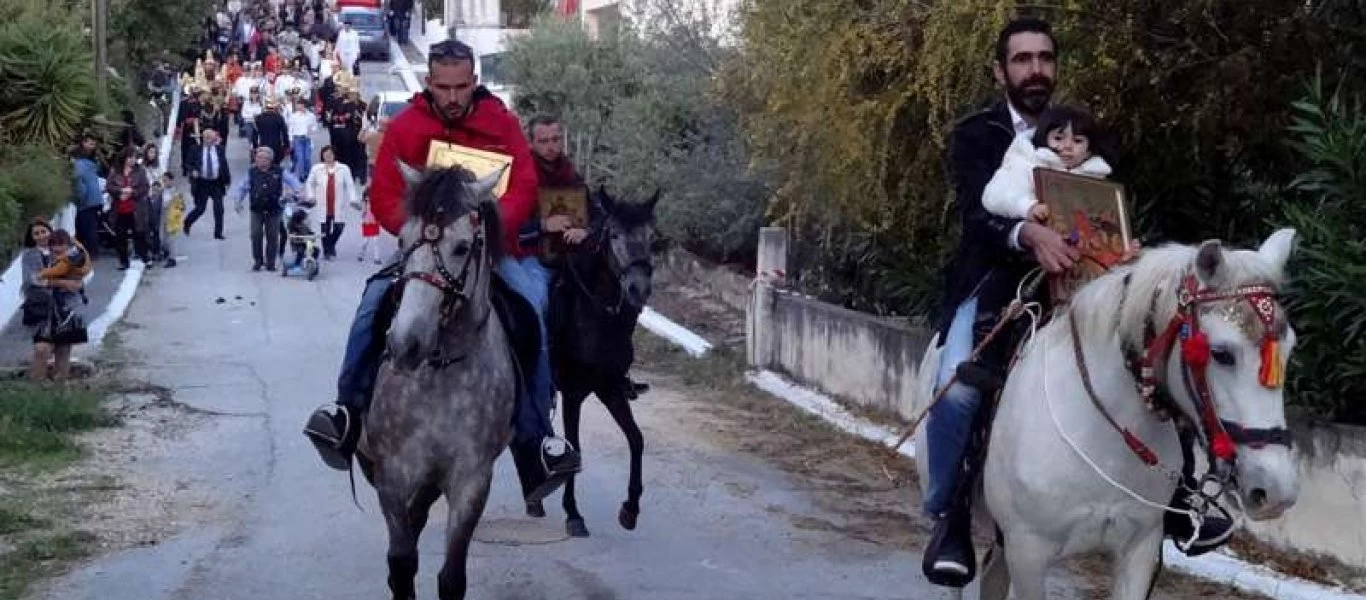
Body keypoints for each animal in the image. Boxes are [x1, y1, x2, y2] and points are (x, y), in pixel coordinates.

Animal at [357, 164, 513, 600]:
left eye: (462, 247)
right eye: (404, 240)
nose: (406, 343)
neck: (441, 372)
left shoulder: (471, 480)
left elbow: (451, 577)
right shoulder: (392, 475)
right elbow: (402, 562)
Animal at [543, 191, 655, 541]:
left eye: (651, 236)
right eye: (614, 235)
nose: (638, 289)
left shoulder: (610, 388)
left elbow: (636, 439)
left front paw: (630, 508)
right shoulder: (574, 393)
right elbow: (575, 448)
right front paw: (573, 513)